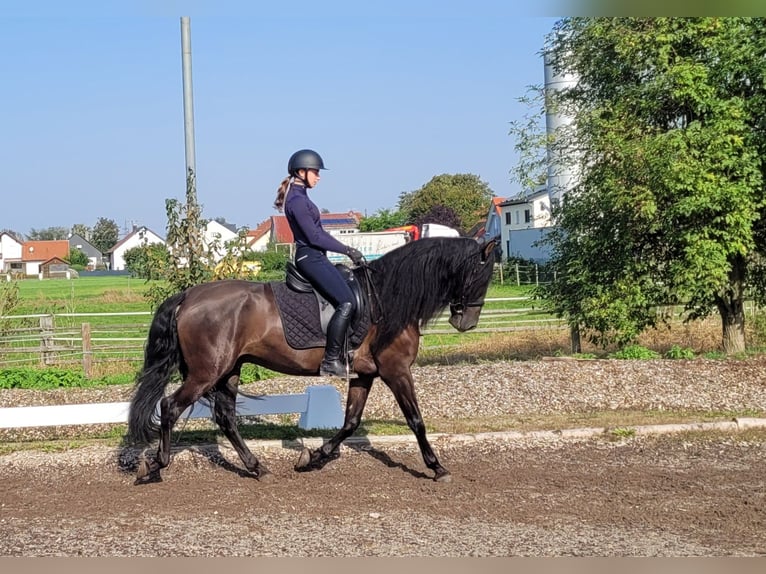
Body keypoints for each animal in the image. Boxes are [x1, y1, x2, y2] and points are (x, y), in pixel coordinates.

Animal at [128, 236, 504, 484]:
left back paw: (256, 467)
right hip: (207, 372)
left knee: (225, 417)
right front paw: (437, 466)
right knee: (170, 407)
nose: (467, 323)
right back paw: (157, 466)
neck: (386, 298)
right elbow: (416, 420)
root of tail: (189, 296)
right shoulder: (396, 371)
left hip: (229, 370)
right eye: (482, 275)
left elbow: (350, 422)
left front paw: (313, 458)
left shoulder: (364, 375)